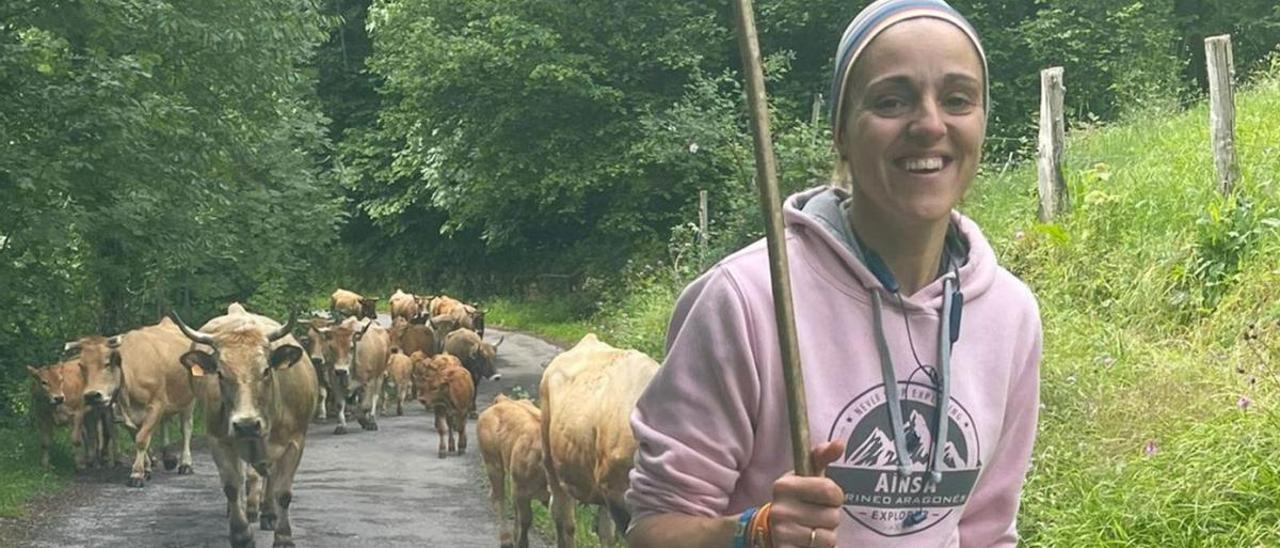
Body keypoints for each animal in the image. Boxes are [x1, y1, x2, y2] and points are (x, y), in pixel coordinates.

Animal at [72, 316, 195, 489]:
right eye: (82, 366)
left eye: (107, 363)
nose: (91, 395)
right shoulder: (124, 413)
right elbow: (138, 436)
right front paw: (146, 469)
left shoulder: (156, 405)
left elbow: (142, 439)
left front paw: (136, 474)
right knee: (165, 422)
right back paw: (168, 457)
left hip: (188, 400)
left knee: (186, 429)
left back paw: (185, 464)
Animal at [171, 303, 316, 548]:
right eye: (220, 373)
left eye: (266, 370)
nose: (246, 425)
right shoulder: (219, 441)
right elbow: (232, 486)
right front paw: (241, 535)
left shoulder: (295, 442)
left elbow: (283, 492)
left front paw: (284, 537)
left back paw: (269, 514)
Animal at [476, 394, 545, 548]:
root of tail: (504, 401)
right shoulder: (521, 490)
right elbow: (526, 519)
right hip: (493, 464)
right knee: (499, 498)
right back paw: (506, 539)